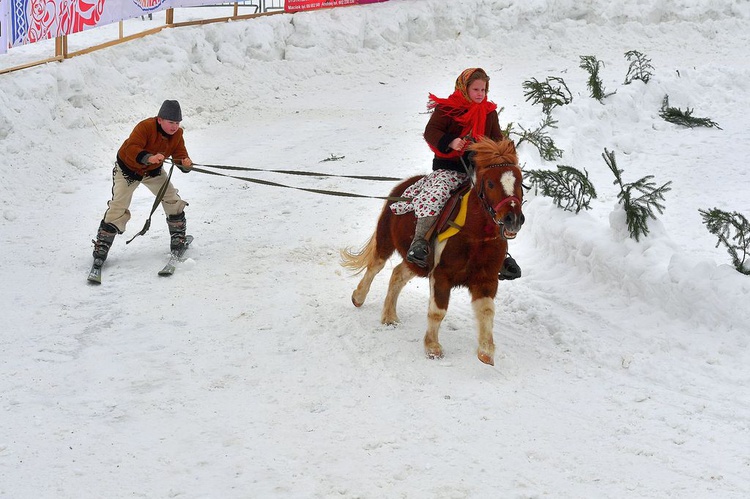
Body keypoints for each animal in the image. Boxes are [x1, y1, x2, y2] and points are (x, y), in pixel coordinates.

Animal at [342, 139, 524, 366]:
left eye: (520, 181)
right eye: (490, 183)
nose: (513, 219)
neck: (475, 235)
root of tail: (403, 185)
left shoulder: (486, 279)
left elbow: (486, 311)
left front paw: (486, 352)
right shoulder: (441, 275)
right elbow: (438, 312)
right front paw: (432, 348)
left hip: (416, 263)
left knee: (397, 275)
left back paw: (389, 316)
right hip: (386, 242)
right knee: (374, 266)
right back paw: (358, 297)